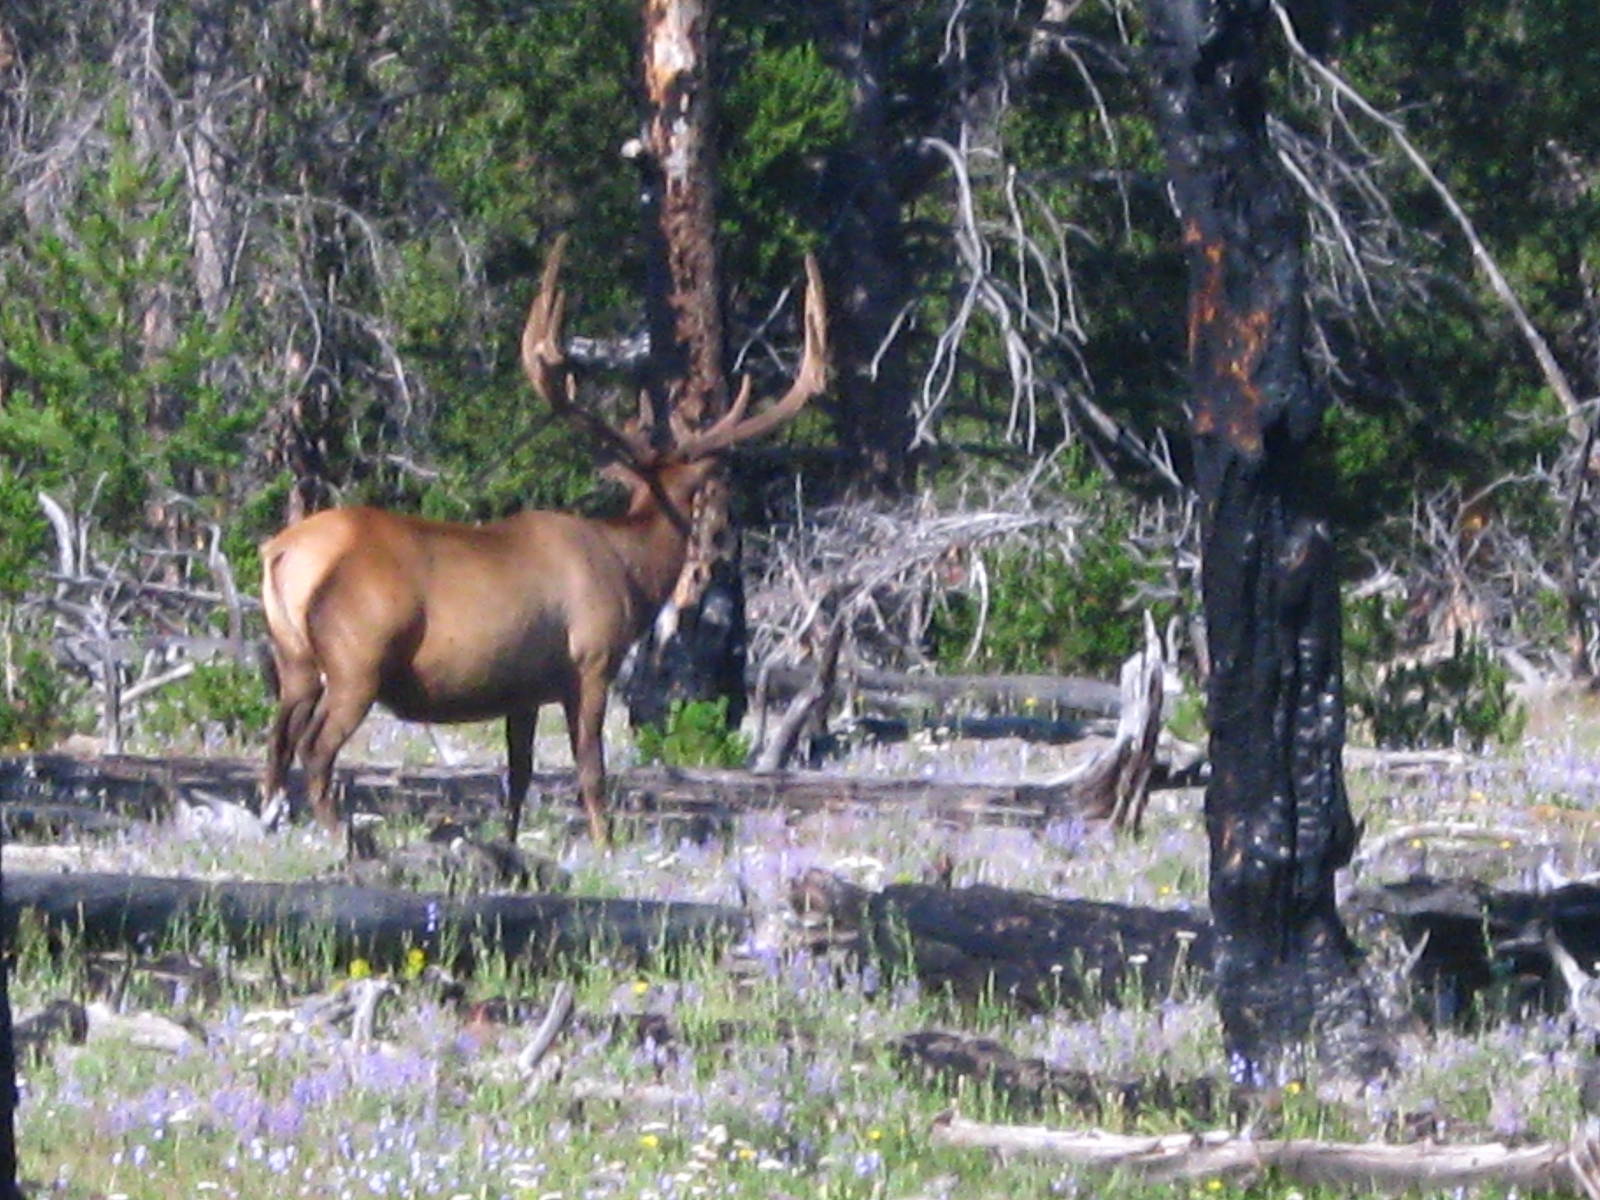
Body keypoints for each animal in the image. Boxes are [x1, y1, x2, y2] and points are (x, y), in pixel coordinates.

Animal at [259, 237, 827, 848]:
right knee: (315, 750)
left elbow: (520, 774)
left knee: (277, 743)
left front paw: (508, 844)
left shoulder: (523, 689)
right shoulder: (592, 659)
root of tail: (283, 553)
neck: (631, 571)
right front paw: (604, 842)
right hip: (356, 658)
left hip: (294, 658)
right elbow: (590, 767)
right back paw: (342, 837)